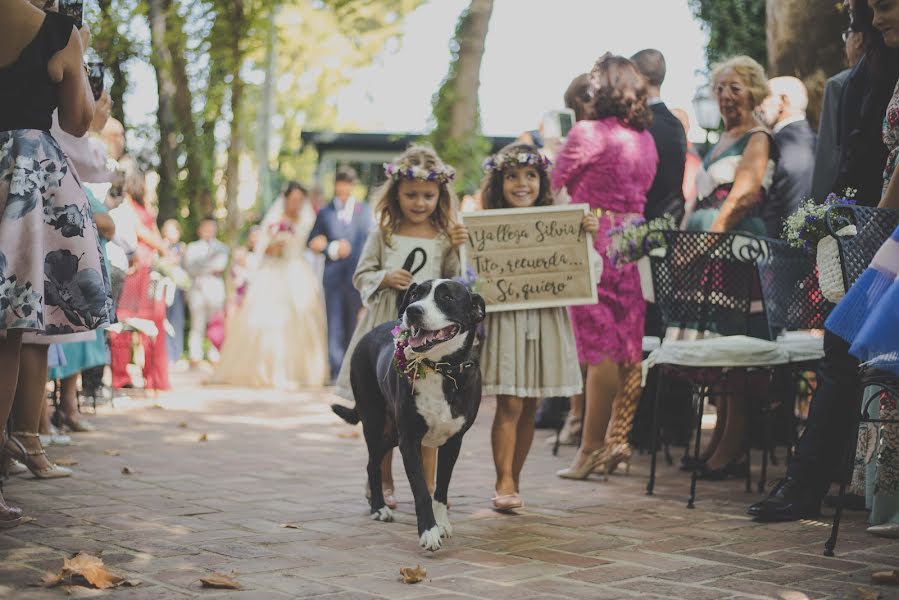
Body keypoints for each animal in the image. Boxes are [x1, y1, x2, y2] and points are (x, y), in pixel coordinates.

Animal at [332, 278, 486, 552]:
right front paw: (428, 532)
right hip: (374, 420)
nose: (413, 311)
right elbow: (421, 491)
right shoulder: (410, 441)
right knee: (372, 463)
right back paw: (379, 507)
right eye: (415, 294)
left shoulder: (453, 442)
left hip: (392, 433)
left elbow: (441, 488)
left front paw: (442, 523)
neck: (439, 368)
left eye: (447, 297)